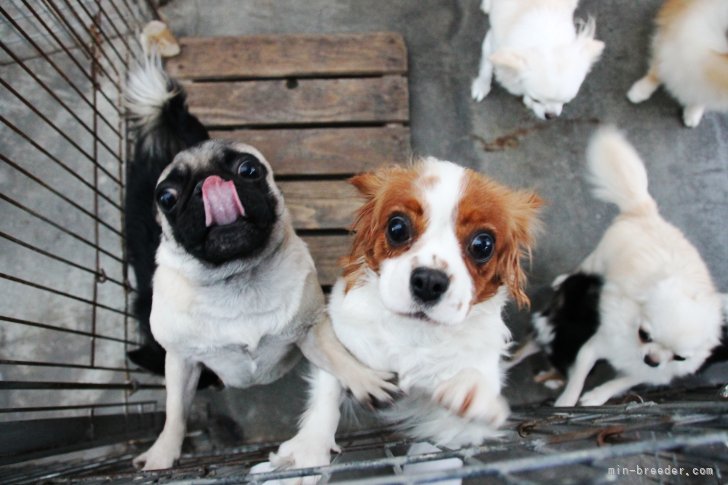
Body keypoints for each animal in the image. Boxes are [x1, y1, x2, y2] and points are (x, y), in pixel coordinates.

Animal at [268, 158, 540, 472]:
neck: (414, 332)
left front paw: (472, 389)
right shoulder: (343, 338)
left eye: (483, 245)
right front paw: (309, 449)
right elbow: (332, 380)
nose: (429, 281)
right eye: (397, 228)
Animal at [472, 0, 604, 120]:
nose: (550, 115)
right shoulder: (493, 43)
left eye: (566, 102)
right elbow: (486, 68)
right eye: (536, 99)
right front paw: (481, 87)